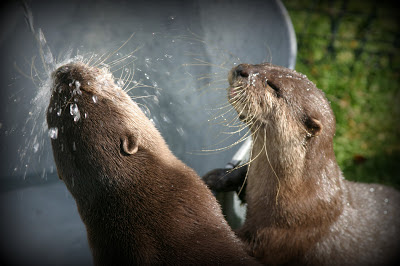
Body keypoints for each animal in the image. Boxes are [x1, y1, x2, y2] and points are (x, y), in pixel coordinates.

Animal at [203, 63, 400, 264]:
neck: (296, 193)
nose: (242, 69)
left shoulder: (285, 233)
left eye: (273, 86)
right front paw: (217, 177)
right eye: (265, 64)